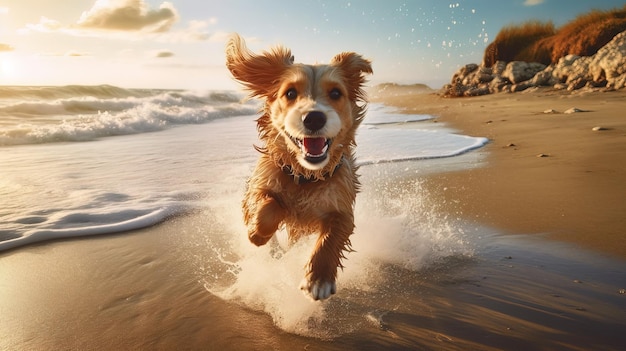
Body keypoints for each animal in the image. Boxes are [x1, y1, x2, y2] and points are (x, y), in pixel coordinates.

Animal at [224, 34, 370, 302]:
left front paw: (318, 279)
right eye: (290, 93)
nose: (314, 118)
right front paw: (257, 234)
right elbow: (269, 207)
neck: (306, 176)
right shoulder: (258, 186)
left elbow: (332, 236)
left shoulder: (342, 208)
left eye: (336, 93)